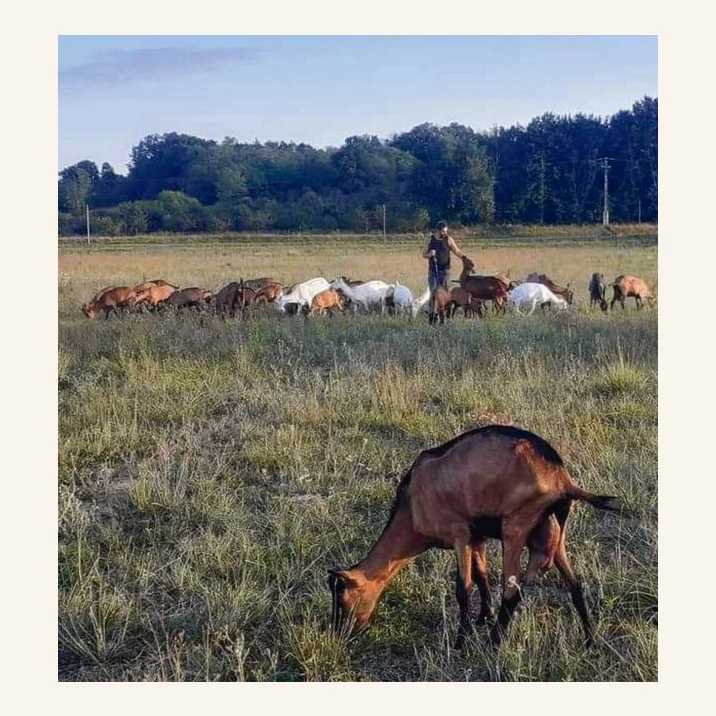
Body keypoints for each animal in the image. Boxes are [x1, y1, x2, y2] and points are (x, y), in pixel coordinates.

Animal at [330, 426, 628, 648]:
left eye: (343, 598)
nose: (339, 635)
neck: (412, 505)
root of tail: (561, 477)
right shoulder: (477, 536)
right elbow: (482, 574)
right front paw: (483, 616)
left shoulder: (459, 533)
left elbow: (464, 588)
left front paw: (461, 640)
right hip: (551, 534)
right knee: (575, 585)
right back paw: (590, 641)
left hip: (516, 525)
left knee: (512, 590)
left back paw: (494, 642)